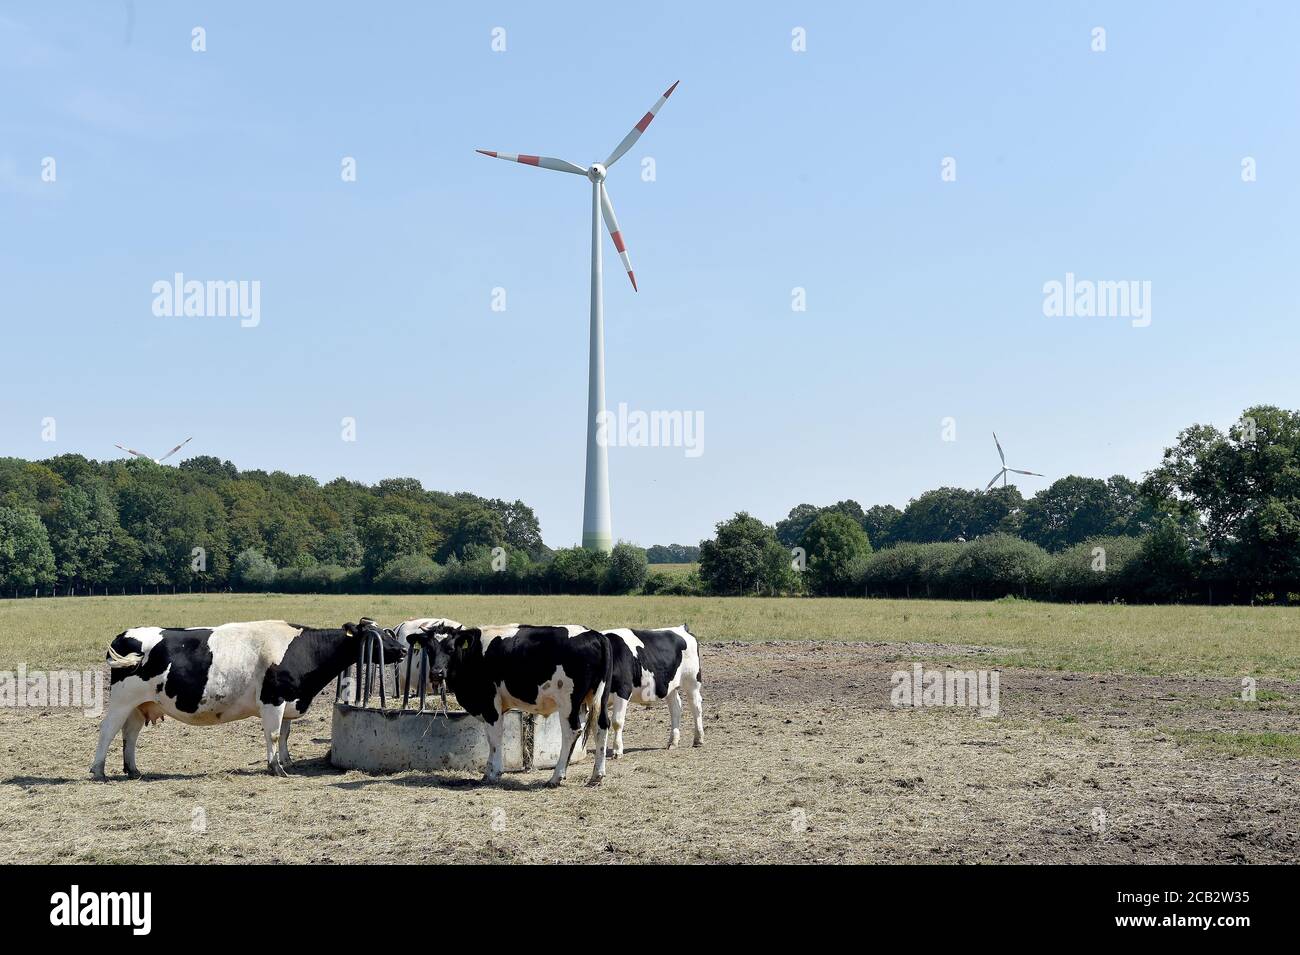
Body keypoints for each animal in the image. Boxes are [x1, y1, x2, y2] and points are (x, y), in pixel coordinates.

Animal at [92, 621, 403, 784]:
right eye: (374, 635)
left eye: (387, 631)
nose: (401, 650)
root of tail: (126, 634)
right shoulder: (273, 699)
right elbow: (274, 734)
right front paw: (276, 768)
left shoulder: (288, 701)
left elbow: (285, 734)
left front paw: (288, 762)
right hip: (121, 700)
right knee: (107, 731)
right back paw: (98, 771)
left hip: (139, 705)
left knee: (130, 735)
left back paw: (133, 770)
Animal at [421, 623, 613, 789]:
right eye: (429, 649)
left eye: (451, 648)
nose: (437, 673)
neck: (474, 654)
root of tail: (594, 634)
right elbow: (490, 739)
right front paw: (487, 773)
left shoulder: (491, 705)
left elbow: (495, 738)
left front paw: (495, 773)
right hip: (597, 697)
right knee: (601, 727)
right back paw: (596, 776)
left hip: (568, 702)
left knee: (571, 732)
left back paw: (556, 777)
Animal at [595, 628, 707, 764]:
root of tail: (681, 628)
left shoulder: (623, 691)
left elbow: (617, 722)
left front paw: (617, 751)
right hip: (670, 687)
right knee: (675, 708)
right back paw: (673, 742)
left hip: (692, 682)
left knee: (696, 707)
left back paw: (698, 739)